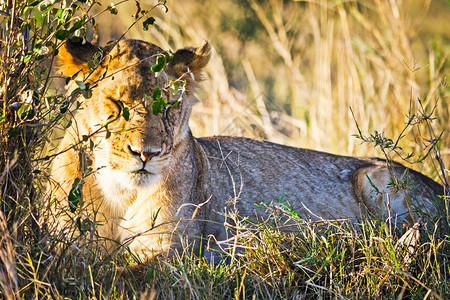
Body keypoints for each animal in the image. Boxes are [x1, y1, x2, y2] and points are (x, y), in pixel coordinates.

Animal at [46, 37, 442, 258]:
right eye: (117, 102)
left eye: (170, 106)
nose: (147, 155)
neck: (120, 191)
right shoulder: (65, 247)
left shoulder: (169, 254)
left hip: (378, 177)